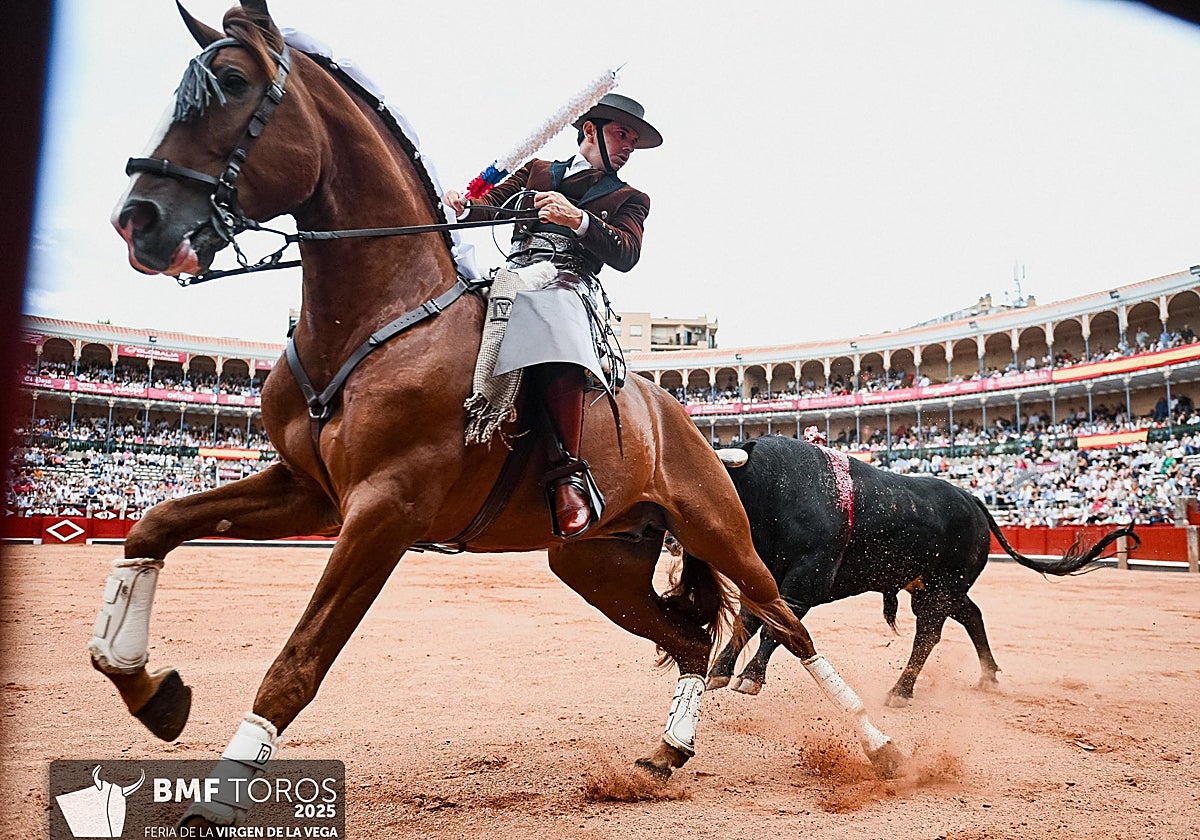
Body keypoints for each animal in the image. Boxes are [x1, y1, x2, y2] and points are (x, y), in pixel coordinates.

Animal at [95, 1, 903, 822]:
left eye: (231, 83)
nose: (140, 220)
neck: (375, 322)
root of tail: (679, 420)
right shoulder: (309, 491)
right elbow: (154, 523)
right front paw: (147, 688)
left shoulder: (383, 512)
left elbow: (298, 661)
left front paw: (220, 795)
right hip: (594, 562)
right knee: (691, 639)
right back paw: (665, 756)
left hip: (720, 532)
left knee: (782, 622)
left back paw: (882, 749)